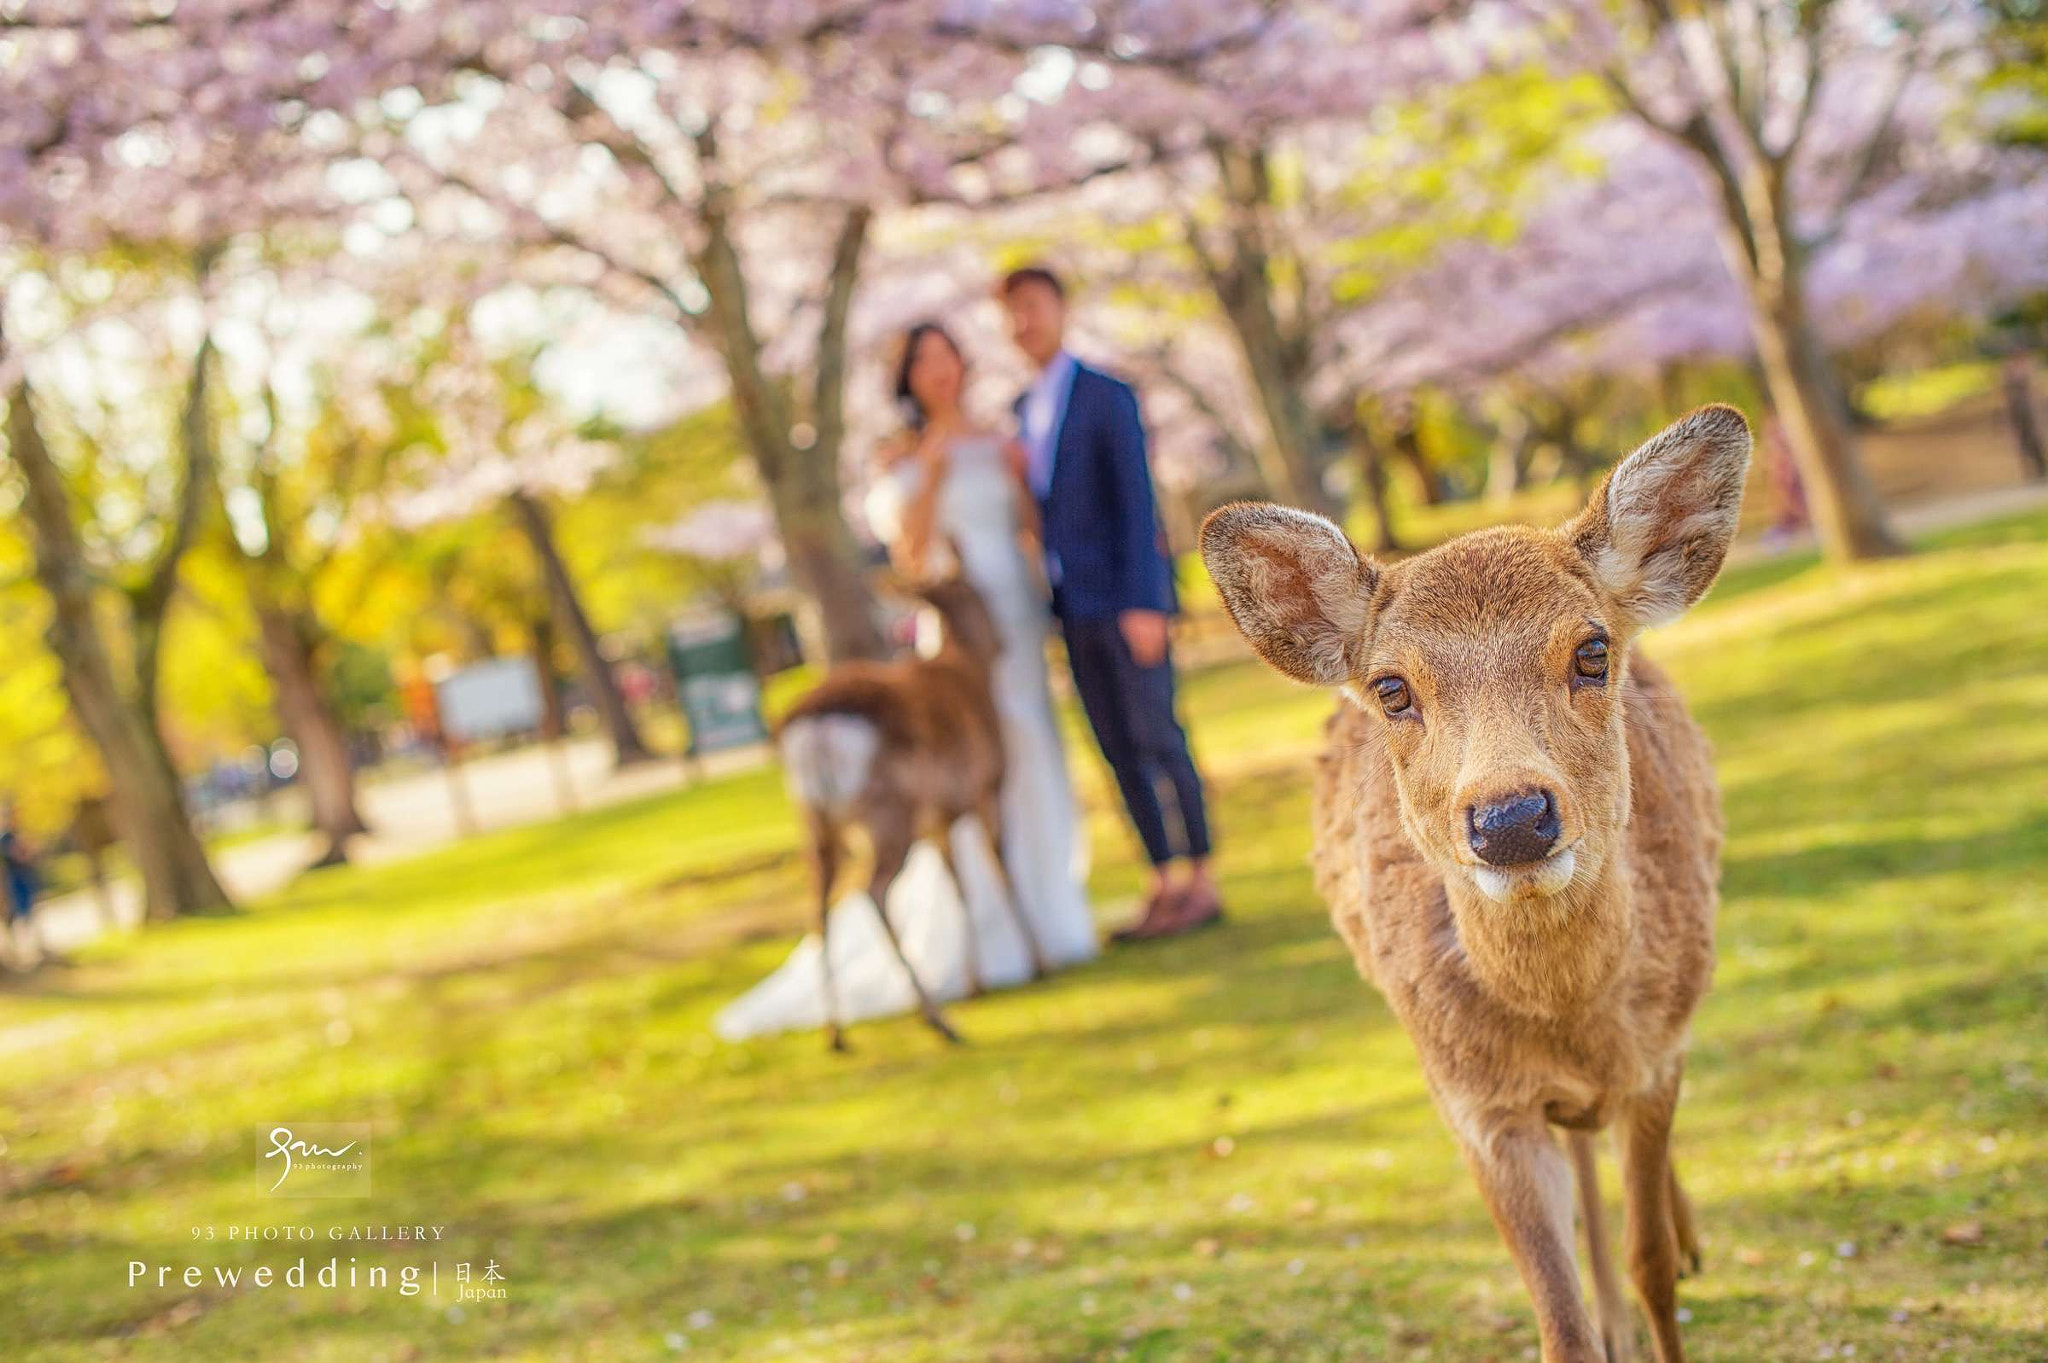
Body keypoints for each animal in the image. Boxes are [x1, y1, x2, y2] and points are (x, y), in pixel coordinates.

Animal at [774, 568, 1048, 1043]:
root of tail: (814, 731)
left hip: (814, 818)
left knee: (818, 900)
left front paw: (977, 983)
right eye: (977, 592)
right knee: (872, 888)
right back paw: (937, 1019)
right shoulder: (988, 787)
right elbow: (1001, 867)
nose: (1004, 641)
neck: (968, 668)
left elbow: (959, 885)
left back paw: (836, 1032)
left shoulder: (939, 816)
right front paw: (1037, 962)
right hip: (887, 810)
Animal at [1196, 403, 1761, 1358]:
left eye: (1592, 649)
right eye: (1391, 686)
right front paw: (1599, 1321)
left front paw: (1667, 1275)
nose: (1511, 818)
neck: (1570, 1018)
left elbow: (1648, 1257)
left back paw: (1687, 1247)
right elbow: (1558, 1319)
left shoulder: (1657, 1058)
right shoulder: (1475, 1103)